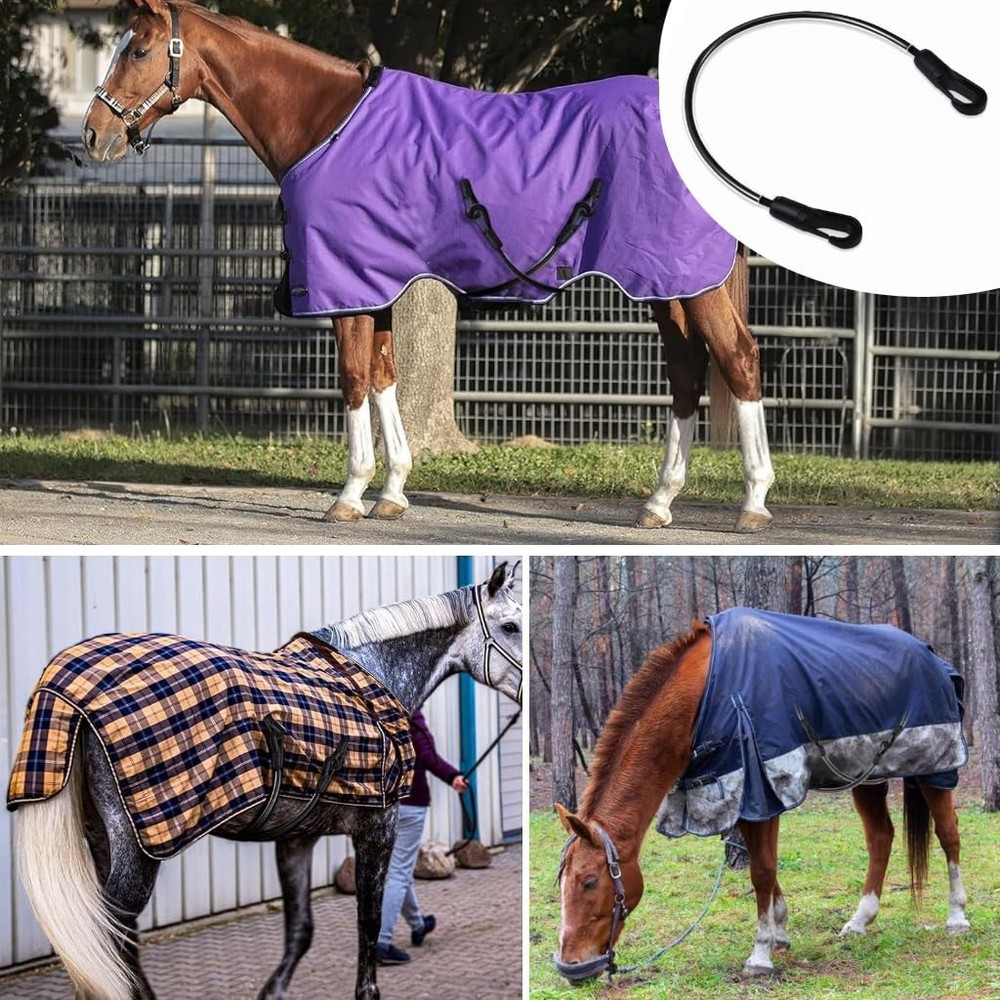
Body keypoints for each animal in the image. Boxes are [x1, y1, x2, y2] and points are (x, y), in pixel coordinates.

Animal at [7, 562, 521, 1000]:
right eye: (511, 626)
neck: (372, 676)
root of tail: (67, 684)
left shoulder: (296, 838)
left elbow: (301, 929)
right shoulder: (378, 831)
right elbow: (368, 926)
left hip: (100, 837)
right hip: (138, 846)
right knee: (109, 937)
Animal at [80, 0, 775, 534]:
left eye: (139, 51)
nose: (92, 135)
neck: (328, 123)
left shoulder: (347, 287)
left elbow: (354, 379)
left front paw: (348, 496)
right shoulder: (376, 285)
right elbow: (385, 376)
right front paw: (391, 493)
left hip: (690, 283)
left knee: (737, 359)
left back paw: (753, 503)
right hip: (669, 283)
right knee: (687, 372)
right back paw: (658, 503)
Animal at [554, 607, 970, 982]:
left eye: (589, 881)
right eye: (562, 882)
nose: (572, 968)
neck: (709, 693)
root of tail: (934, 658)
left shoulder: (762, 792)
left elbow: (762, 871)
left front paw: (760, 955)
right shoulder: (744, 798)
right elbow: (763, 866)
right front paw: (780, 933)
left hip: (936, 767)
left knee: (949, 834)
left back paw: (957, 917)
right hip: (867, 776)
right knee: (881, 838)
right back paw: (859, 921)